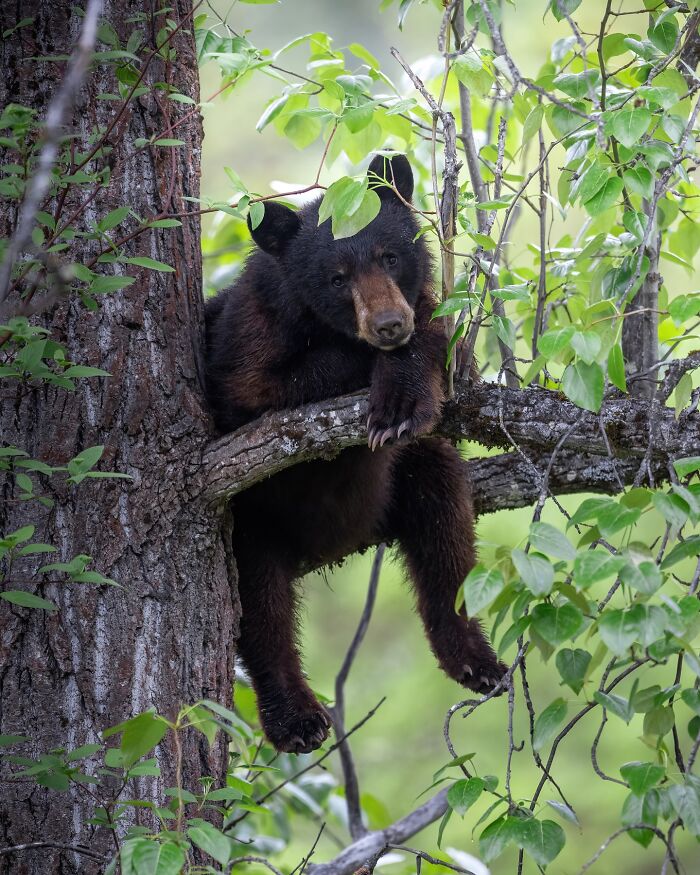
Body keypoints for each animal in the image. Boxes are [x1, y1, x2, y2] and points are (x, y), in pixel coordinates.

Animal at [204, 153, 506, 755]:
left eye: (390, 255)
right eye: (336, 278)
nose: (389, 324)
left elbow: (443, 343)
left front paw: (401, 397)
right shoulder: (243, 342)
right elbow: (261, 388)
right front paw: (377, 372)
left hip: (404, 484)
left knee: (444, 532)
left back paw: (474, 658)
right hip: (253, 522)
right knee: (261, 606)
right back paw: (295, 716)